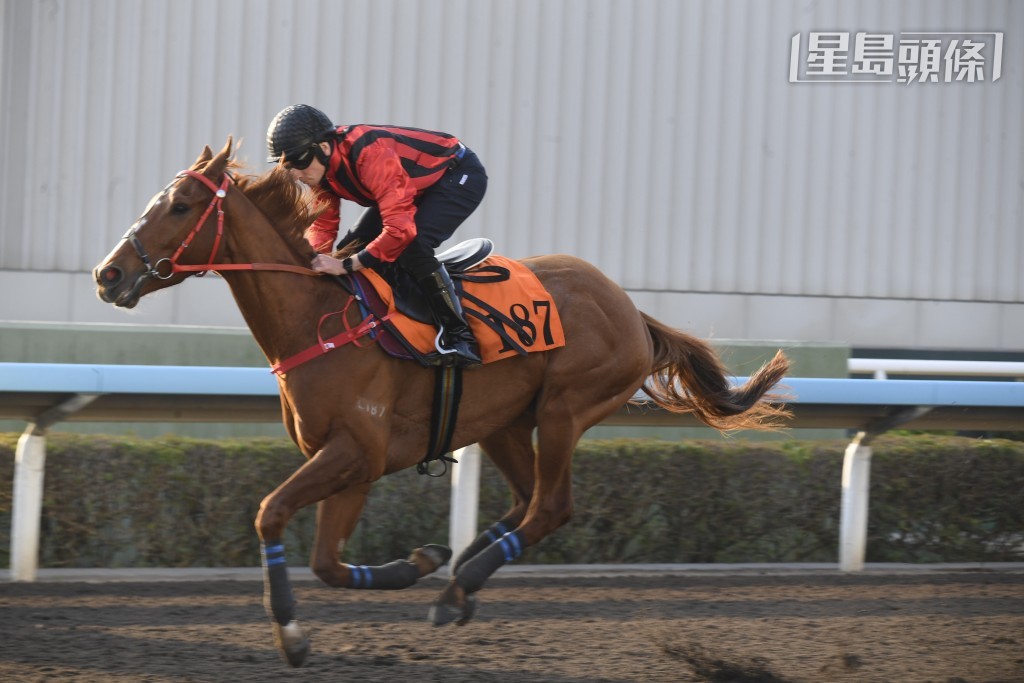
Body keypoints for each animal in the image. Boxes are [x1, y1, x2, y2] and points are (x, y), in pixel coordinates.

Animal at [93, 138, 790, 667]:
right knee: (524, 501)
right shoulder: (351, 463)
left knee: (551, 507)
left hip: (565, 410)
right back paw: (459, 575)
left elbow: (270, 514)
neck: (317, 317)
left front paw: (290, 633)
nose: (108, 275)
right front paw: (416, 562)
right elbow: (327, 563)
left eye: (180, 205)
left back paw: (458, 591)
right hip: (503, 423)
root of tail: (630, 309)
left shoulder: (356, 451)